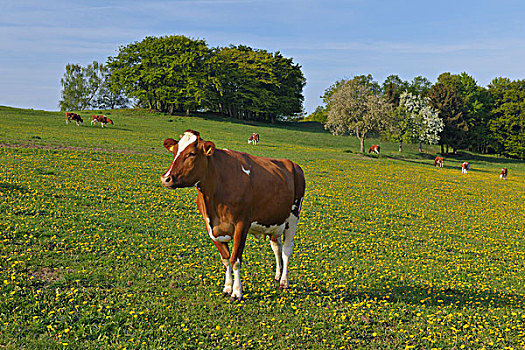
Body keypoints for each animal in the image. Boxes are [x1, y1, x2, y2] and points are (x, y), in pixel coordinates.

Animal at [162, 130, 304, 300]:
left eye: (191, 153)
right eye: (174, 151)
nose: (166, 178)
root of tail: (292, 164)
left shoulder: (242, 225)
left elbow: (235, 259)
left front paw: (237, 292)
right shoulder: (211, 227)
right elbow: (225, 259)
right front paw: (227, 287)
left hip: (293, 217)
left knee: (287, 250)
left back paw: (284, 281)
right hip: (274, 220)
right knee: (277, 247)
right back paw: (277, 275)